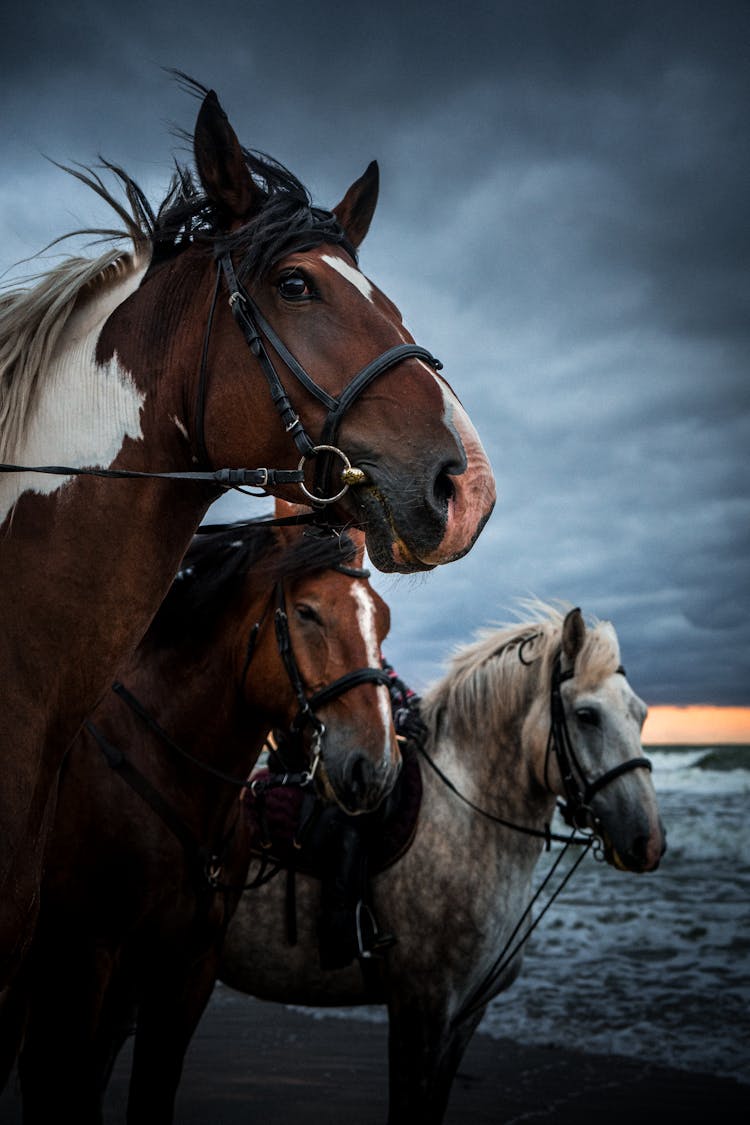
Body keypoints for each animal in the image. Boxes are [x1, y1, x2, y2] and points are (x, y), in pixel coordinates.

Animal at [218, 607, 670, 1125]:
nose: (648, 841)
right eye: (586, 716)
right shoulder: (421, 1013)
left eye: (641, 714)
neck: (465, 816)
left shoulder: (465, 1017)